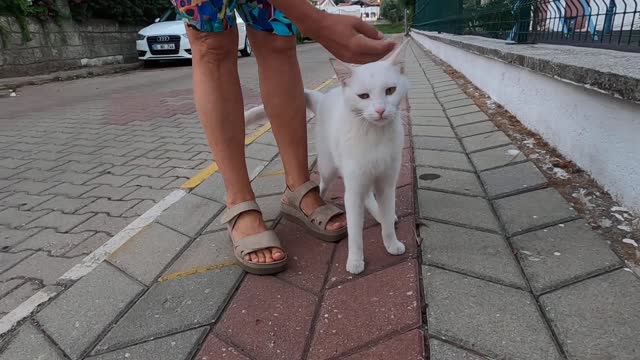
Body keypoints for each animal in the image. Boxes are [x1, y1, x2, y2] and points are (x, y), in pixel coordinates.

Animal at [245, 39, 410, 274]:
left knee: (368, 197)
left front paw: (391, 242)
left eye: (390, 90)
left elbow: (386, 219)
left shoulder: (386, 184)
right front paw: (355, 260)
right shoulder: (353, 186)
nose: (380, 110)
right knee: (324, 184)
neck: (374, 135)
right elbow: (355, 232)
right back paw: (318, 202)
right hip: (329, 166)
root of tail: (324, 98)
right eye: (364, 96)